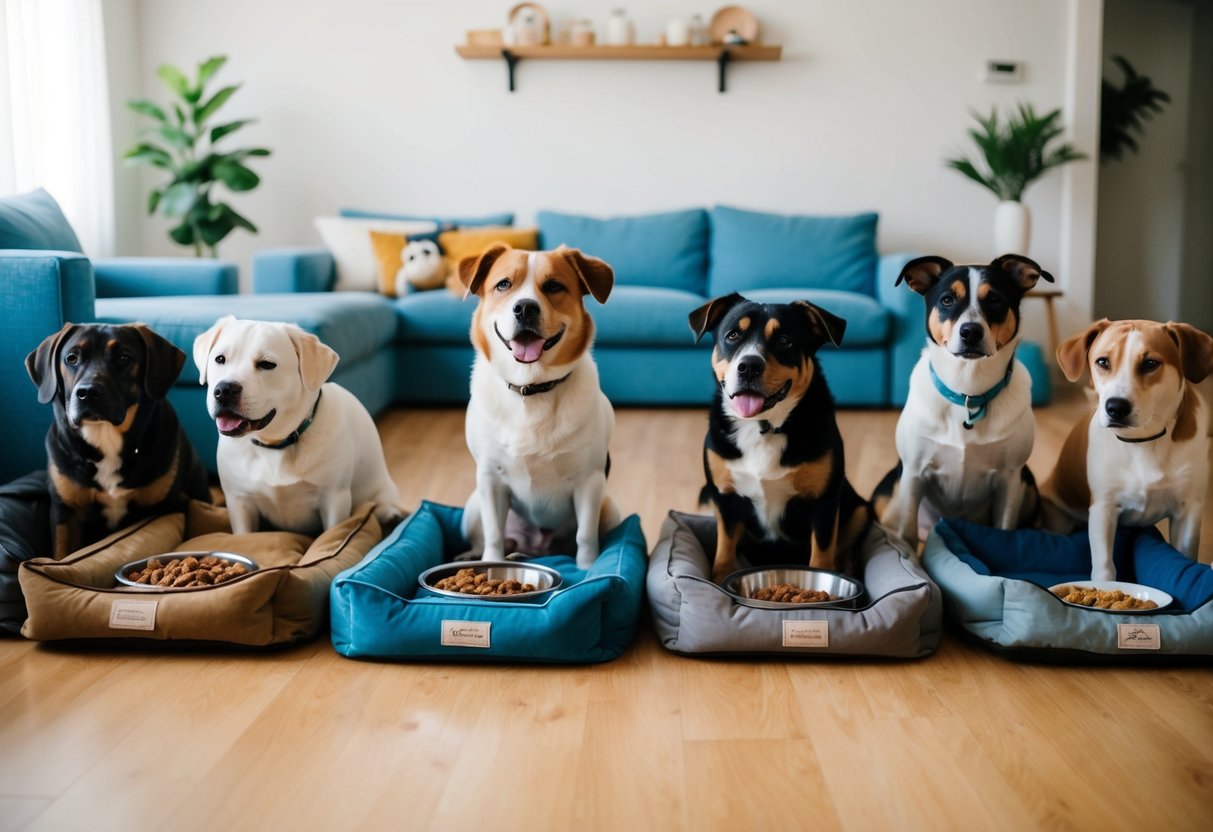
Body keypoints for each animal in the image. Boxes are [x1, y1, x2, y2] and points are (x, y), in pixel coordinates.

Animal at [26, 322, 211, 557]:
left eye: (124, 357)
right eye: (72, 358)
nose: (87, 393)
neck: (105, 436)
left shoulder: (165, 507)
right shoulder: (66, 514)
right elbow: (62, 554)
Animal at [192, 315, 402, 538]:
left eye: (267, 364)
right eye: (220, 359)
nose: (224, 390)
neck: (274, 445)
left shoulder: (335, 499)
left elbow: (332, 532)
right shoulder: (239, 501)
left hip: (382, 491)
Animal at [458, 241, 621, 567]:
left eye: (554, 286)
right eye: (503, 284)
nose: (525, 307)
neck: (530, 389)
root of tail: (539, 549)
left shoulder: (589, 481)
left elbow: (585, 537)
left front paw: (588, 569)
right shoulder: (489, 479)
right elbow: (493, 536)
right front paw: (491, 563)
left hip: (609, 508)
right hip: (473, 506)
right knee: (488, 538)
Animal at [693, 297, 873, 584]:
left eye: (784, 340)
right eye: (733, 335)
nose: (749, 366)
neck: (763, 427)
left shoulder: (824, 503)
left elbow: (821, 557)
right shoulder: (723, 498)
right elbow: (724, 553)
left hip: (859, 511)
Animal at [1043, 320, 1213, 579]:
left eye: (1150, 363)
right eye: (1103, 362)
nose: (1116, 407)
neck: (1143, 440)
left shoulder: (1188, 509)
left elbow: (1185, 556)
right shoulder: (1103, 507)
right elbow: (1104, 566)